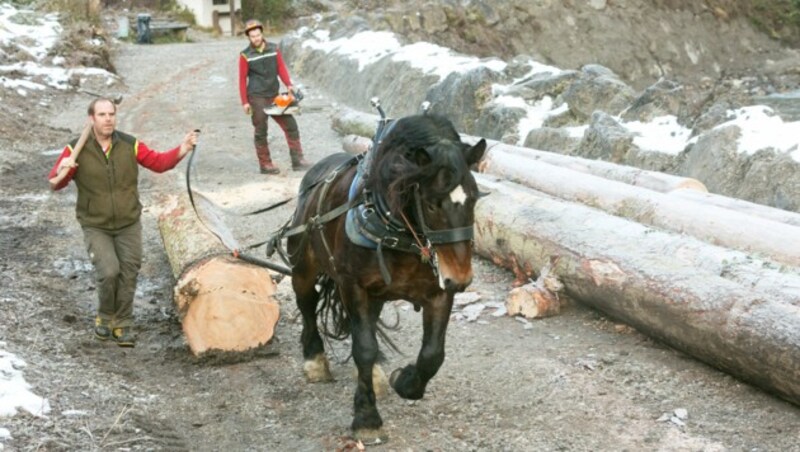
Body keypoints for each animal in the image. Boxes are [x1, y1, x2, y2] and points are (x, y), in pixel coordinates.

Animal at [278, 112, 484, 438]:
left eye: (474, 198)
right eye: (431, 204)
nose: (461, 277)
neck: (395, 228)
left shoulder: (439, 292)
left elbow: (432, 354)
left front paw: (405, 381)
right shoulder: (353, 286)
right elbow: (363, 347)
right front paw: (366, 416)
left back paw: (374, 373)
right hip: (303, 268)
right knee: (307, 305)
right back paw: (314, 360)